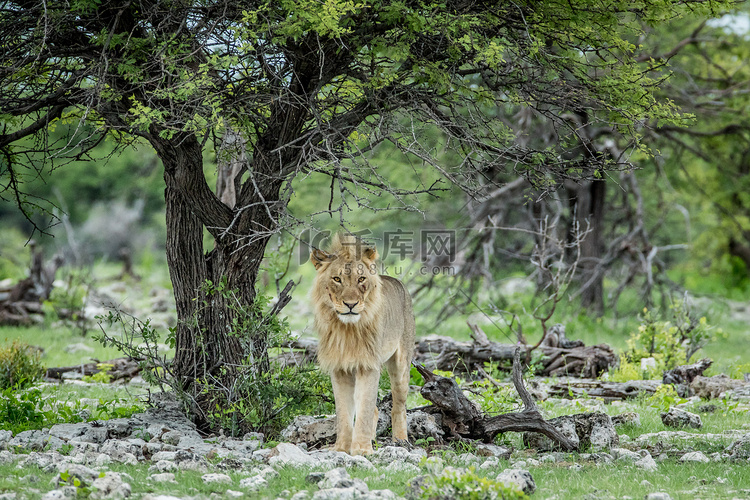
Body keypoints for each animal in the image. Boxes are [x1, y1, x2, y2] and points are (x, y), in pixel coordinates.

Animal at [310, 232, 418, 456]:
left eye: (361, 279)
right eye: (337, 279)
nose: (350, 305)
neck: (347, 329)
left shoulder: (368, 366)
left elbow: (365, 408)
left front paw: (361, 450)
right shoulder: (339, 368)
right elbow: (344, 412)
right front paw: (342, 448)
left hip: (401, 364)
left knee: (399, 405)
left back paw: (401, 441)